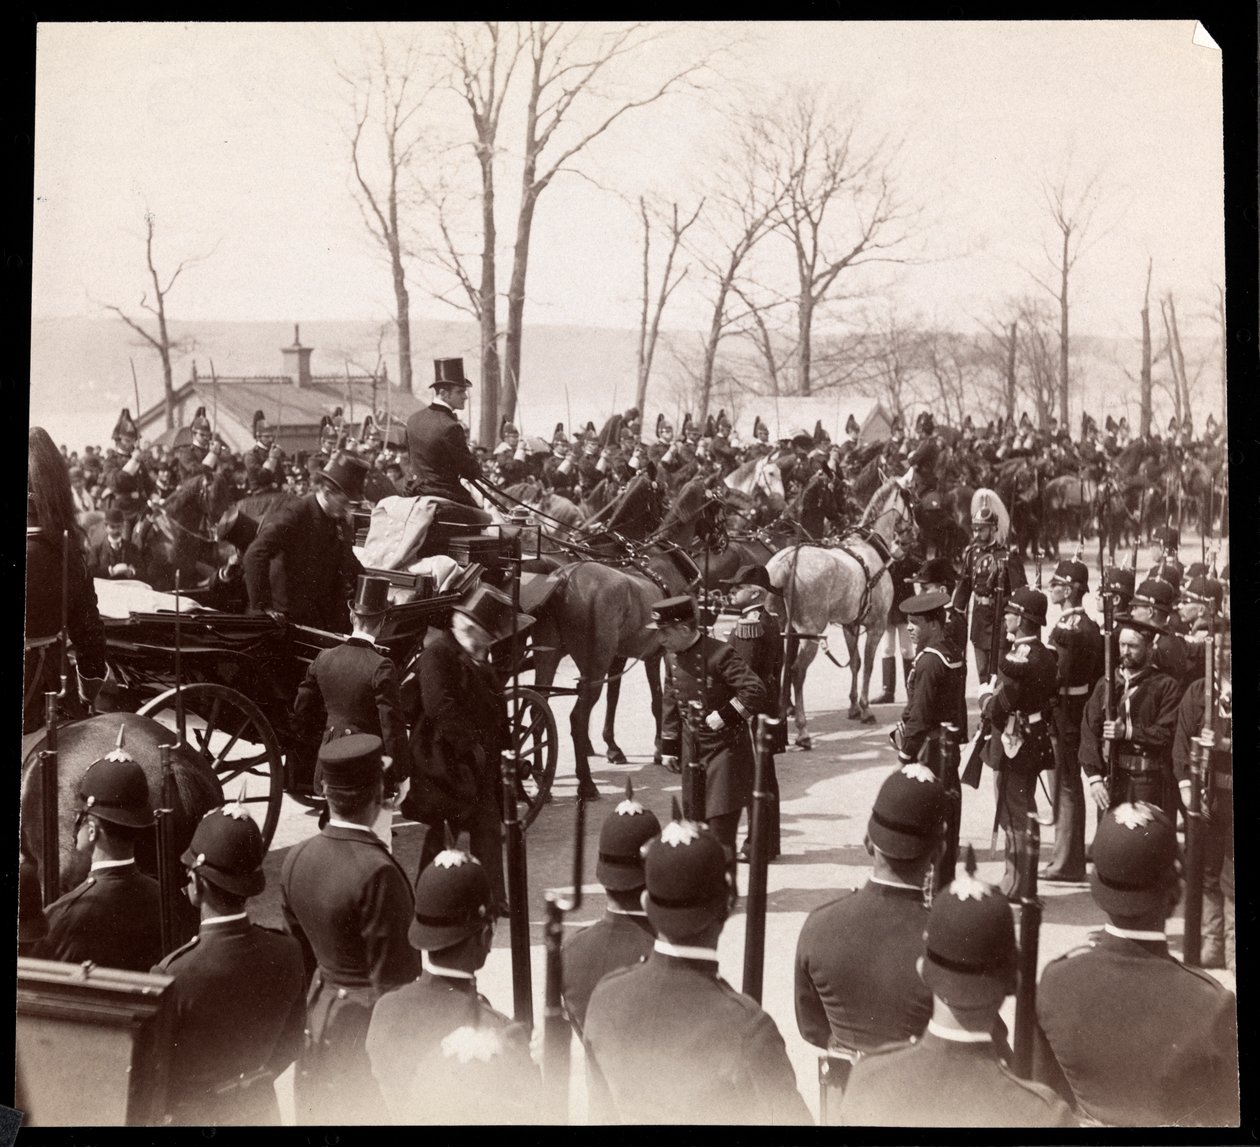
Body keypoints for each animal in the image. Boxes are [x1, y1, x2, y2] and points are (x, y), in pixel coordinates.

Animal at [761, 481, 912, 751]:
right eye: (911, 501)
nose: (912, 534)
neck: (869, 547)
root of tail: (787, 564)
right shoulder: (876, 626)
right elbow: (869, 664)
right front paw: (865, 708)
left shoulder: (849, 625)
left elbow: (855, 663)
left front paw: (853, 706)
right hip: (809, 632)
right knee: (797, 671)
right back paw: (802, 731)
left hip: (782, 628)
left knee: (782, 667)